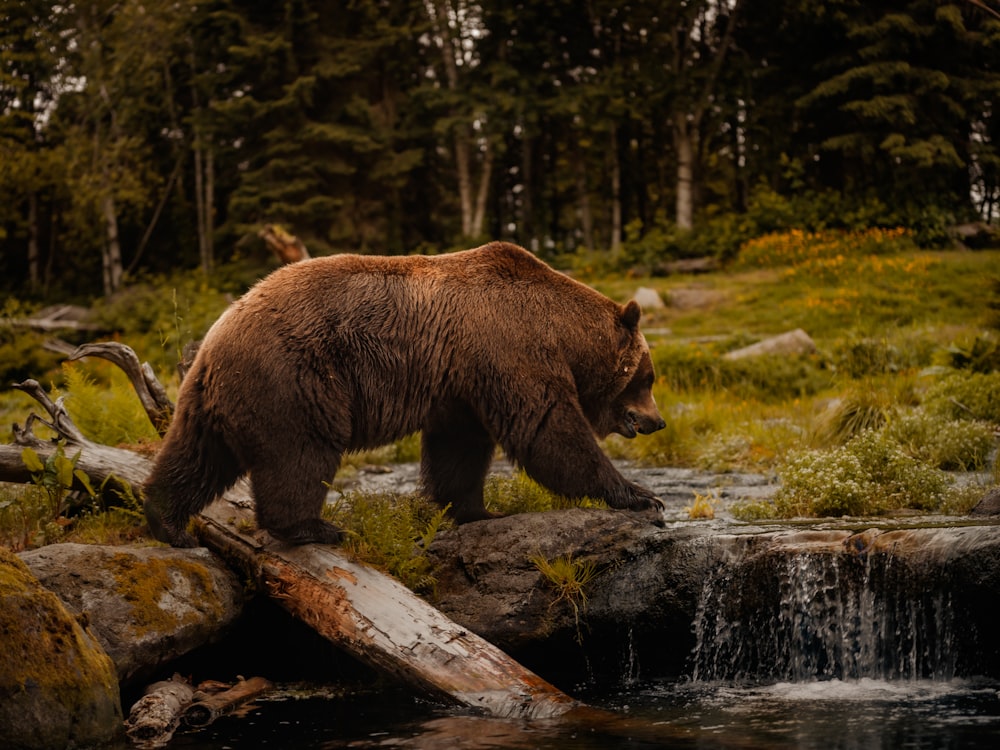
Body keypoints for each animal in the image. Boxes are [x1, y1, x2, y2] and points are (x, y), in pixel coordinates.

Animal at [143, 244, 664, 548]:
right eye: (649, 376)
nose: (657, 421)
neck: (561, 332)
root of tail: (217, 335)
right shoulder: (510, 348)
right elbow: (549, 430)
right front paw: (639, 495)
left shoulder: (462, 382)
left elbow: (460, 450)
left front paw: (474, 509)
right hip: (295, 380)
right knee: (300, 455)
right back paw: (316, 528)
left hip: (215, 396)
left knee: (195, 455)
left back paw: (167, 522)